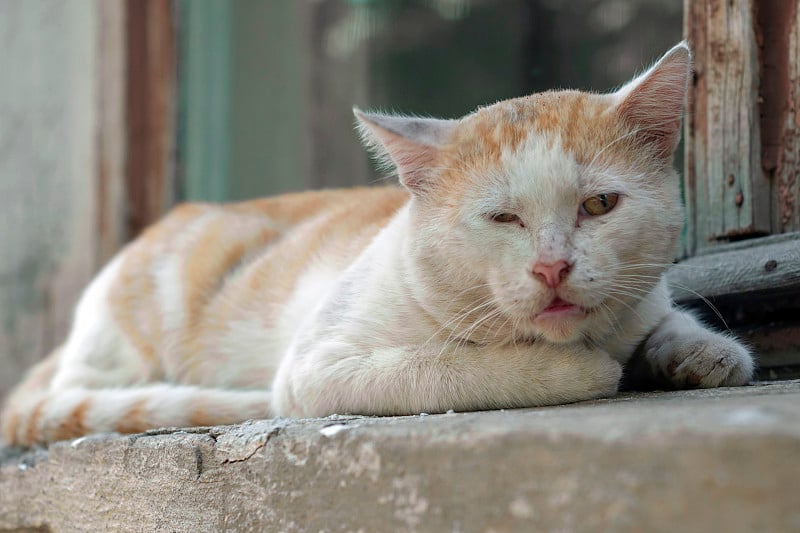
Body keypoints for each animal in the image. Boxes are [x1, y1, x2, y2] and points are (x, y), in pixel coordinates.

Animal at [0, 42, 752, 444]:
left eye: (598, 205)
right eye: (502, 218)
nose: (552, 267)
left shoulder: (647, 297)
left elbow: (664, 321)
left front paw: (701, 353)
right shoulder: (318, 365)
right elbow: (451, 367)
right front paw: (585, 369)